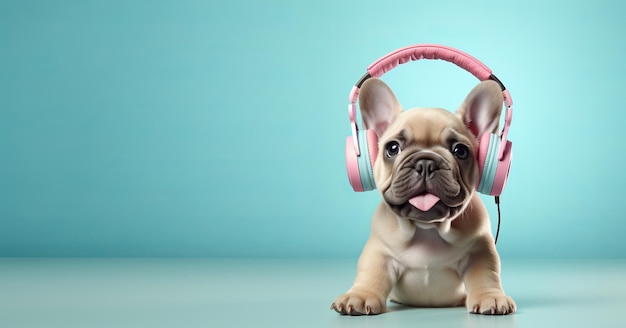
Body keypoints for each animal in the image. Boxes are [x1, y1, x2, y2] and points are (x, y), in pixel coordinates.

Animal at [330, 77, 516, 316]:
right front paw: (360, 296)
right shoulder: (380, 251)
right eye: (392, 148)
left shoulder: (479, 250)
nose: (426, 163)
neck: (427, 230)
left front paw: (490, 298)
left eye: (460, 151)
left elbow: (486, 274)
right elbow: (371, 272)